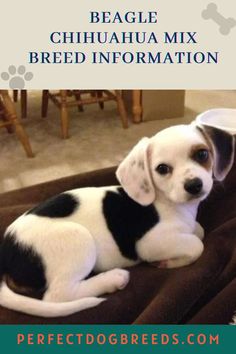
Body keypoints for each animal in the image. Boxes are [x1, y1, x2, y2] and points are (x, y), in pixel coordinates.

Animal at [0, 123, 234, 316]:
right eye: (162, 169)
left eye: (202, 154)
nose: (194, 185)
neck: (170, 203)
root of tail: (7, 251)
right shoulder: (150, 243)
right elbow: (197, 245)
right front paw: (168, 262)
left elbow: (199, 230)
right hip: (78, 239)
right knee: (57, 295)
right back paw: (112, 279)